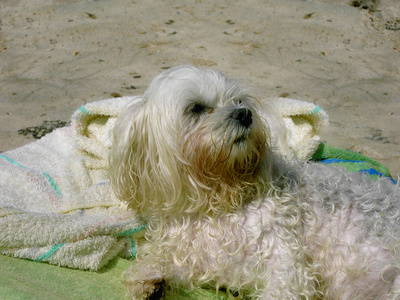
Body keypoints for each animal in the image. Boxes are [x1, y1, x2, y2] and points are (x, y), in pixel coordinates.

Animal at [108, 66, 400, 300]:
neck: (218, 198)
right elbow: (166, 260)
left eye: (238, 100)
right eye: (196, 108)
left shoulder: (288, 264)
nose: (244, 114)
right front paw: (150, 279)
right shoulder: (200, 260)